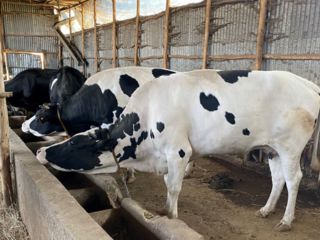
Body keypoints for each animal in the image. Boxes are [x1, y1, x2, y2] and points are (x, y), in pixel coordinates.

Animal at [36, 70, 320, 232]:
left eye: (74, 143)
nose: (40, 153)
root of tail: (306, 83)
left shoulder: (178, 151)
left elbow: (173, 189)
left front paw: (170, 217)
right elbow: (167, 185)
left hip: (291, 146)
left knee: (293, 179)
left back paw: (286, 220)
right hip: (272, 148)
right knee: (278, 178)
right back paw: (266, 209)